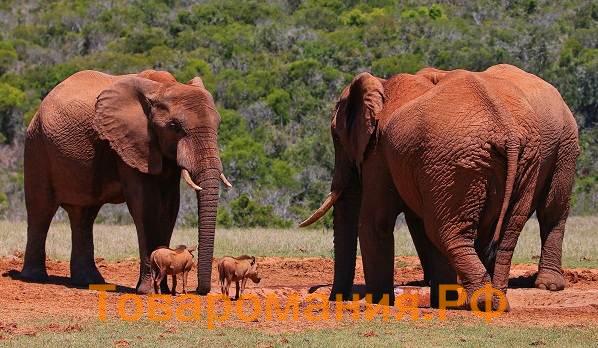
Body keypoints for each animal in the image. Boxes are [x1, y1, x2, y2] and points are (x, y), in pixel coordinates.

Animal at [21, 68, 232, 294]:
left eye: (218, 124)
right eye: (174, 126)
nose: (199, 290)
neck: (163, 87)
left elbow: (169, 207)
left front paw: (163, 290)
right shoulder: (131, 144)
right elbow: (145, 207)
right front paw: (149, 291)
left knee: (83, 215)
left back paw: (88, 281)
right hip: (37, 145)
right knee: (41, 209)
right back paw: (34, 278)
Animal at [304, 64, 580, 308]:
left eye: (336, 137)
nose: (335, 299)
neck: (382, 84)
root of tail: (508, 133)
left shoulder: (379, 153)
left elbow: (375, 222)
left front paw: (379, 304)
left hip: (532, 150)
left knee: (451, 230)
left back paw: (499, 298)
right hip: (518, 160)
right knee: (503, 232)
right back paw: (494, 299)